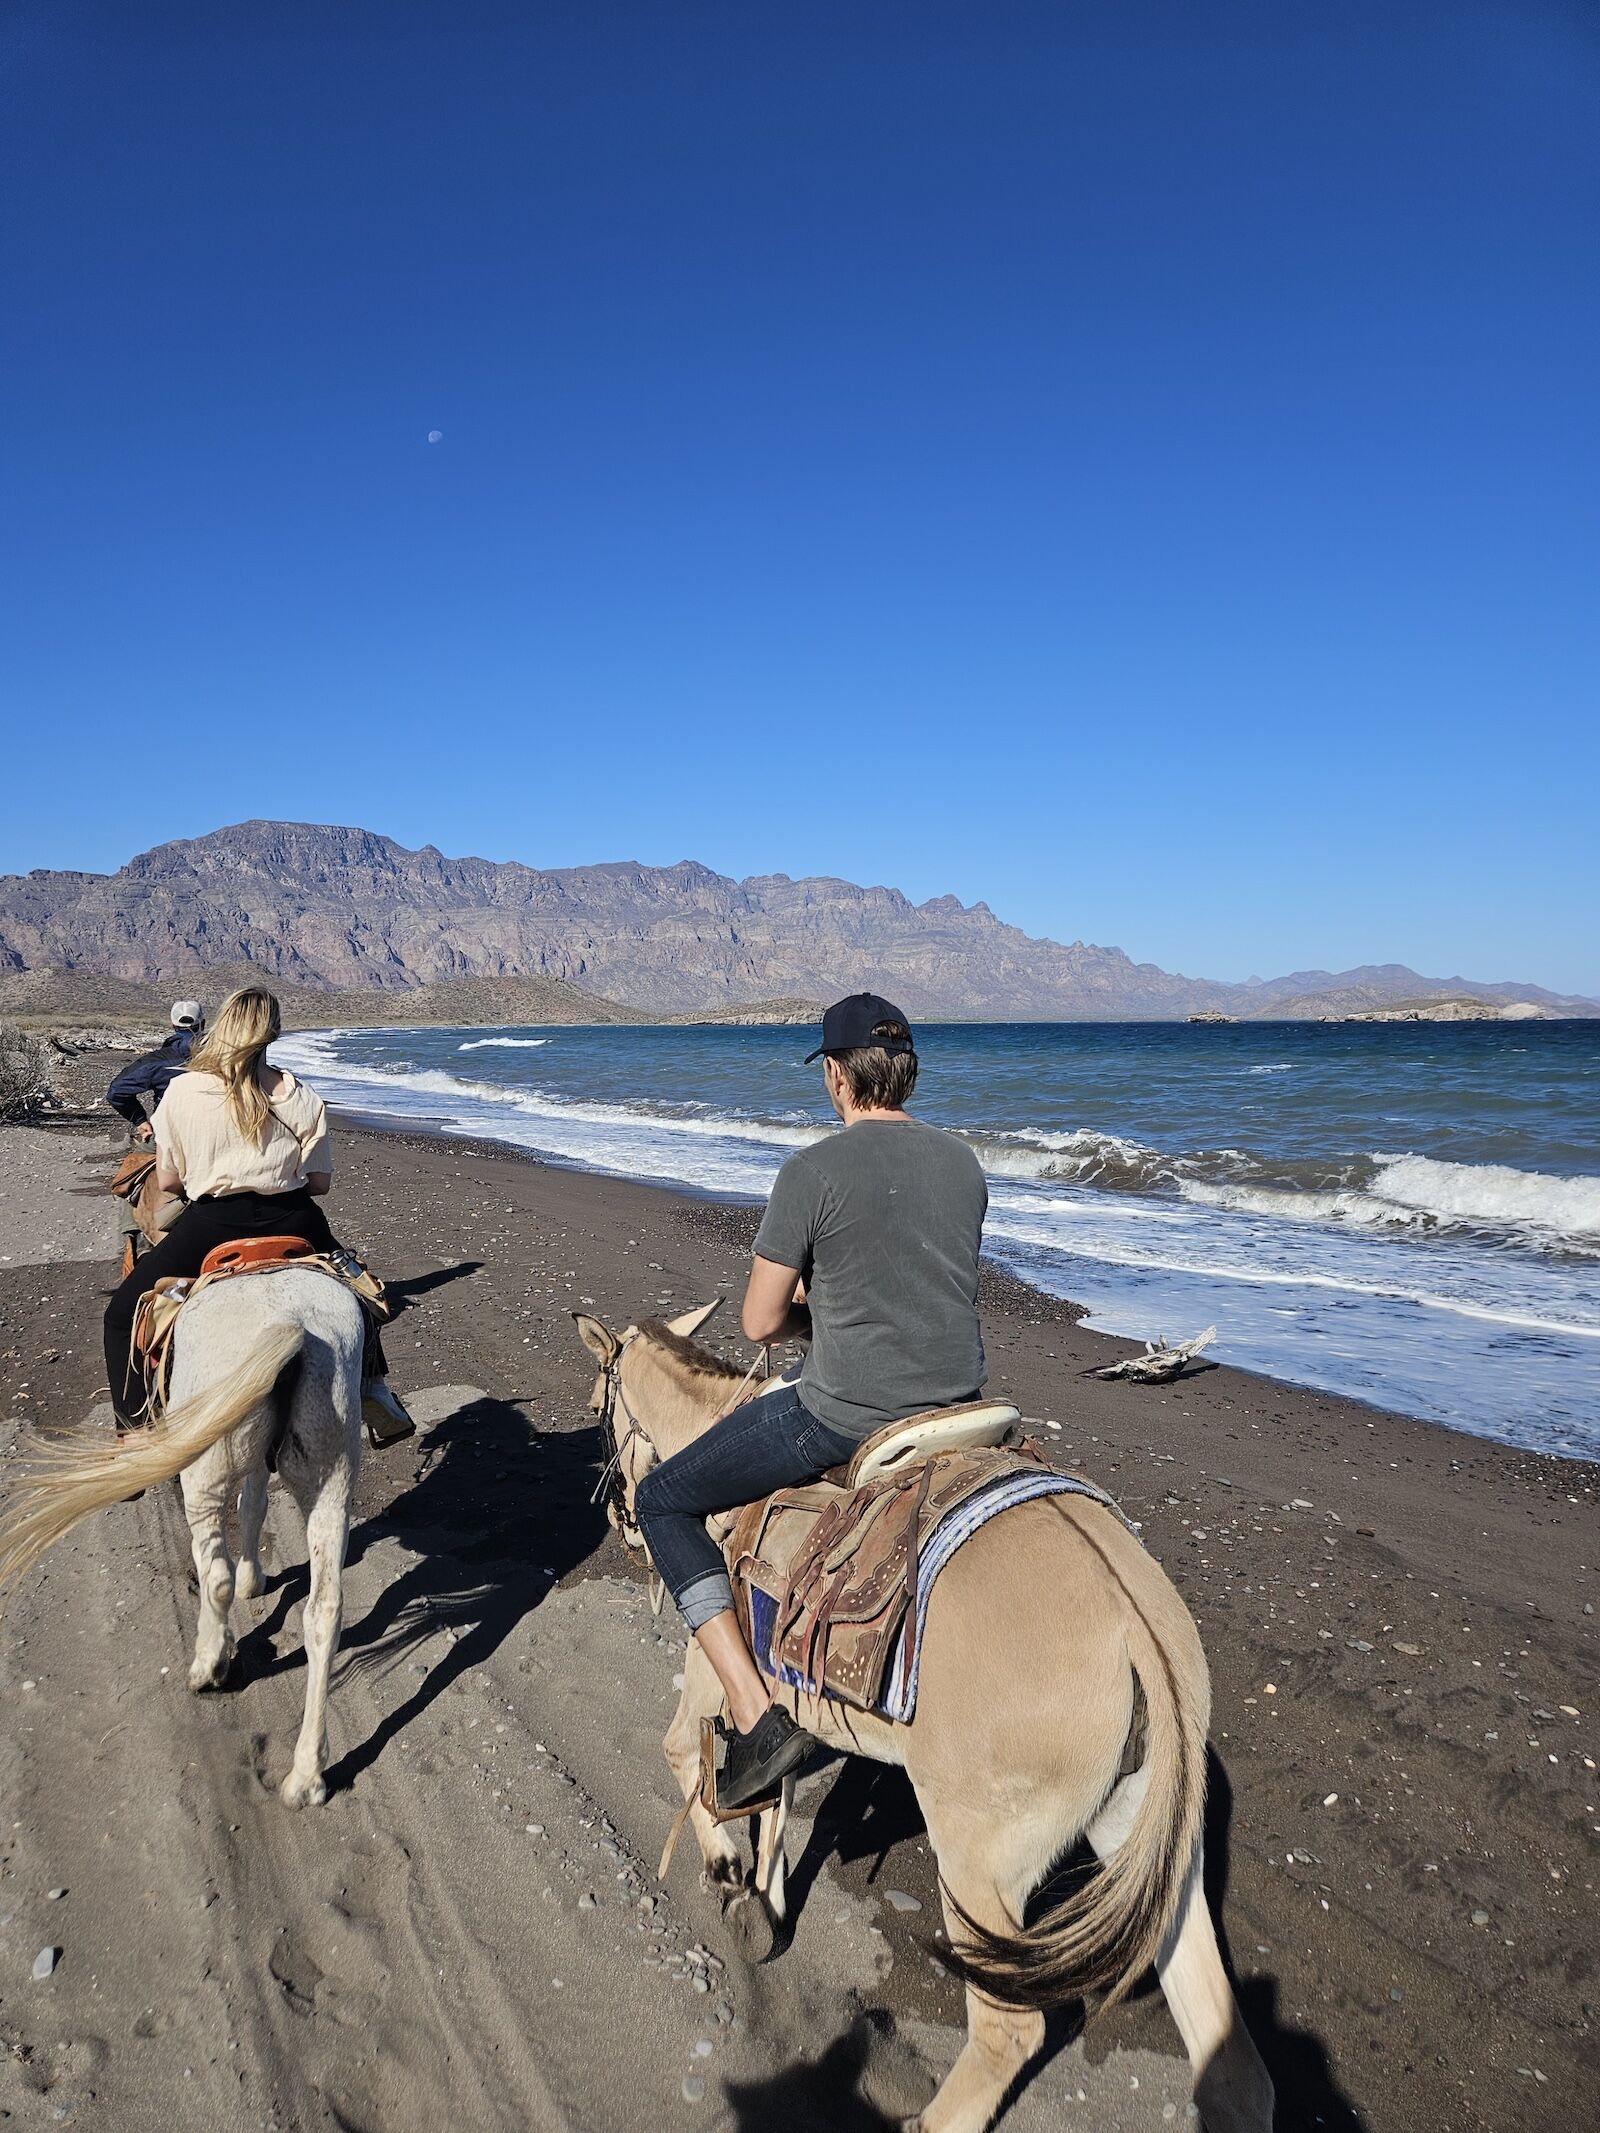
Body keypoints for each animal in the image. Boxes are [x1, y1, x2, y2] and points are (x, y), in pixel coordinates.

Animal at [0, 1271, 362, 1808]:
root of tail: (292, 1324)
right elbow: (254, 1503)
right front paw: (257, 1579)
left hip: (205, 1471)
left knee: (215, 1576)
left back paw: (208, 1666)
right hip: (330, 1477)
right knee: (324, 1612)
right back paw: (307, 1776)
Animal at [576, 1296, 1280, 2133]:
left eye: (597, 1403)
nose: (619, 1512)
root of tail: (1143, 1634)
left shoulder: (715, 1673)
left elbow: (685, 1753)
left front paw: (728, 1876)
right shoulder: (782, 1699)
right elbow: (775, 1793)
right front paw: (766, 1897)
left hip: (981, 1856)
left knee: (1013, 2028)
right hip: (1145, 1835)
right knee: (1232, 2060)